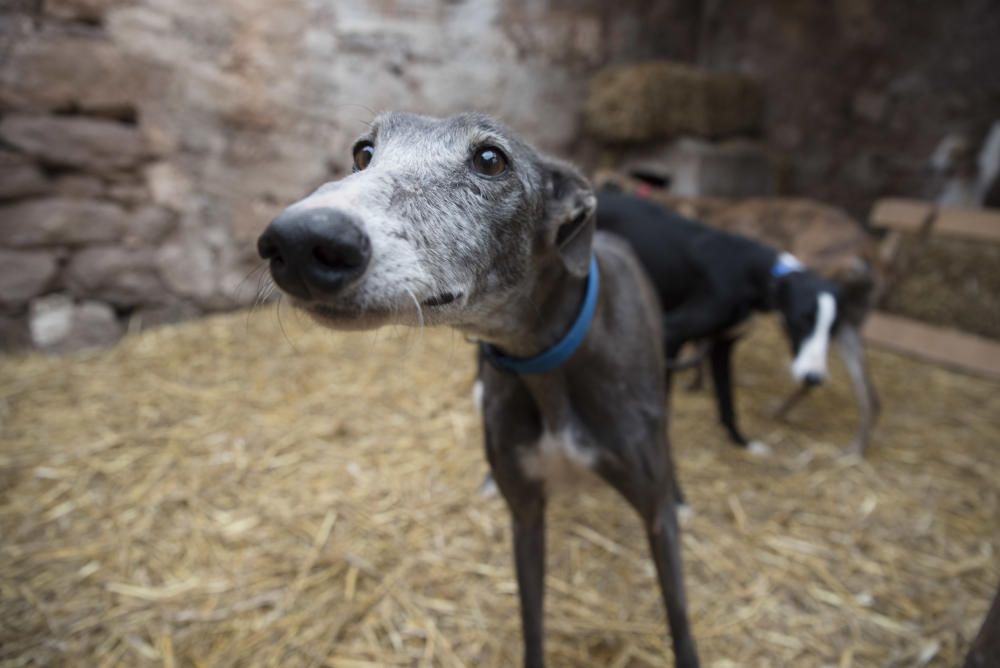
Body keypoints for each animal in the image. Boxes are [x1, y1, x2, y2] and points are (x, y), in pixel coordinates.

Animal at [596, 188, 840, 454]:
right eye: (801, 320)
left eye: (832, 329)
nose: (814, 378)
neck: (751, 273)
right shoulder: (672, 333)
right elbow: (665, 397)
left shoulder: (722, 345)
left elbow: (727, 399)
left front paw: (741, 441)